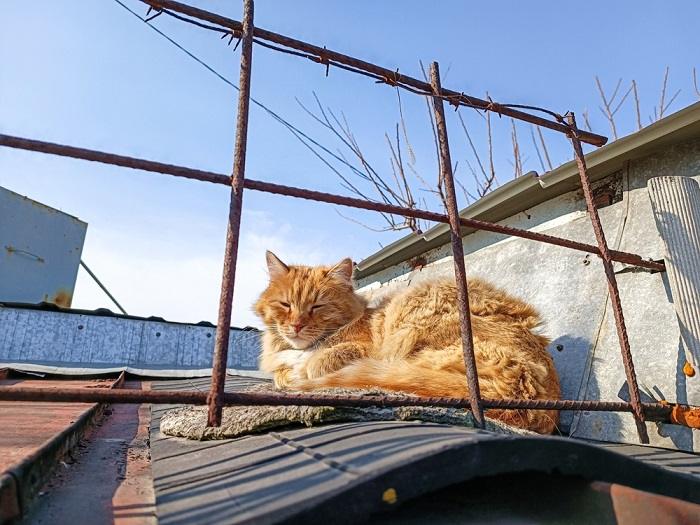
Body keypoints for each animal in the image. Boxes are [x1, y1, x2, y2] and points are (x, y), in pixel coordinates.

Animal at [254, 252, 560, 432]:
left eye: (318, 306)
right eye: (285, 304)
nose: (297, 325)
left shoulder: (361, 348)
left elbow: (319, 362)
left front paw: (304, 370)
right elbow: (282, 372)